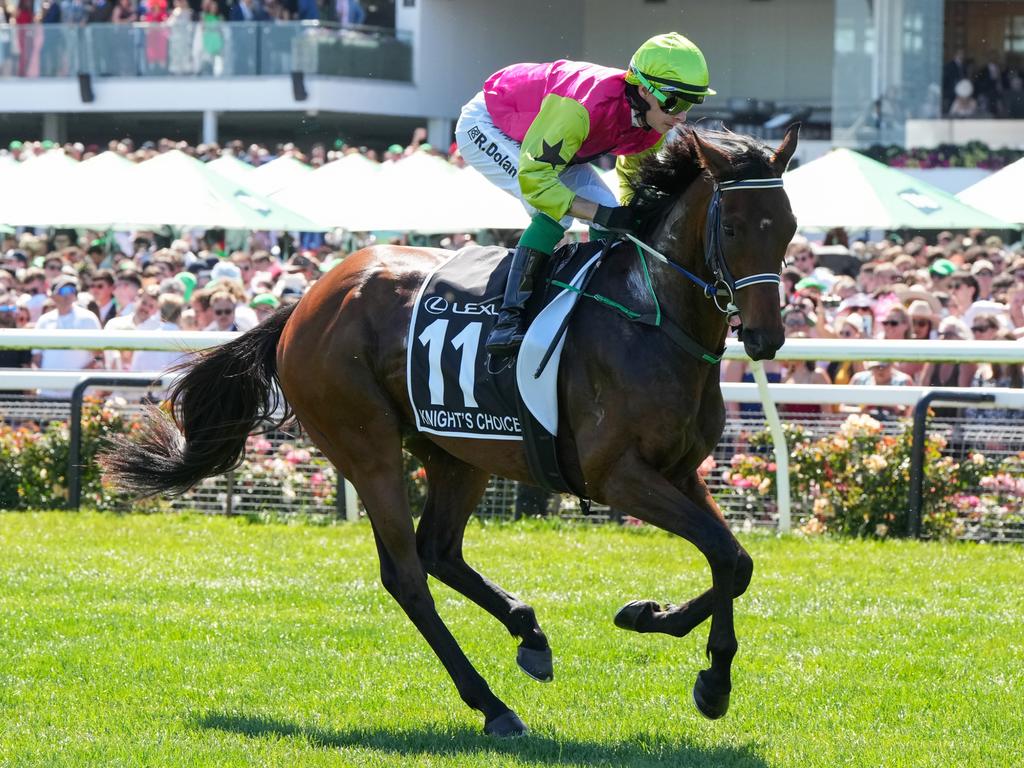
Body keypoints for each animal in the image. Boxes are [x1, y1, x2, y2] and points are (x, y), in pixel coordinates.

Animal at [105, 124, 806, 741]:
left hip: (458, 451)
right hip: (368, 446)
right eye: (733, 227)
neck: (651, 316)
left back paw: (529, 634)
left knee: (439, 548)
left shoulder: (680, 470)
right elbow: (723, 555)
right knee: (408, 574)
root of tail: (306, 301)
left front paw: (657, 624)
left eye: (791, 227)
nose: (765, 337)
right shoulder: (617, 476)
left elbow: (736, 560)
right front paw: (709, 678)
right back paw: (491, 705)